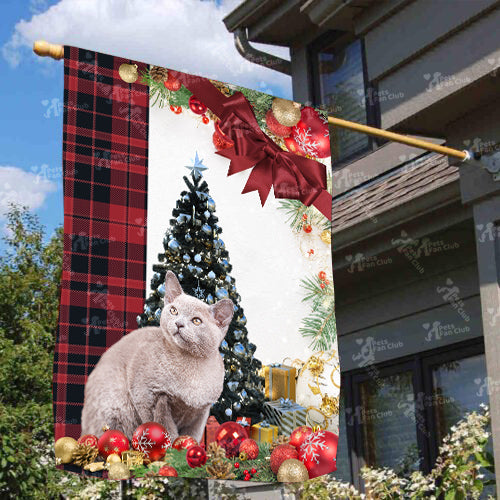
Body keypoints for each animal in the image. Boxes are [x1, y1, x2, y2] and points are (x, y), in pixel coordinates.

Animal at [80, 270, 234, 442]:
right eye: (174, 311)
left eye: (196, 321)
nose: (179, 323)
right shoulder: (149, 396)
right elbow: (166, 429)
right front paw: (173, 446)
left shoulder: (200, 413)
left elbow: (191, 435)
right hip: (115, 408)